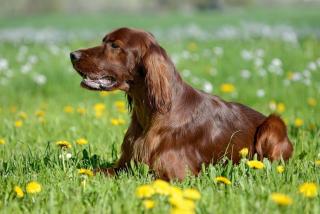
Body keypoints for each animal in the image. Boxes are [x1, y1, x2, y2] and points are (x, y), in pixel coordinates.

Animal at [70, 27, 292, 181]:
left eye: (115, 45)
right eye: (104, 41)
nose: (73, 55)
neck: (151, 115)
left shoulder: (177, 176)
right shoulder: (123, 165)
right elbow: (94, 170)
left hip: (273, 125)